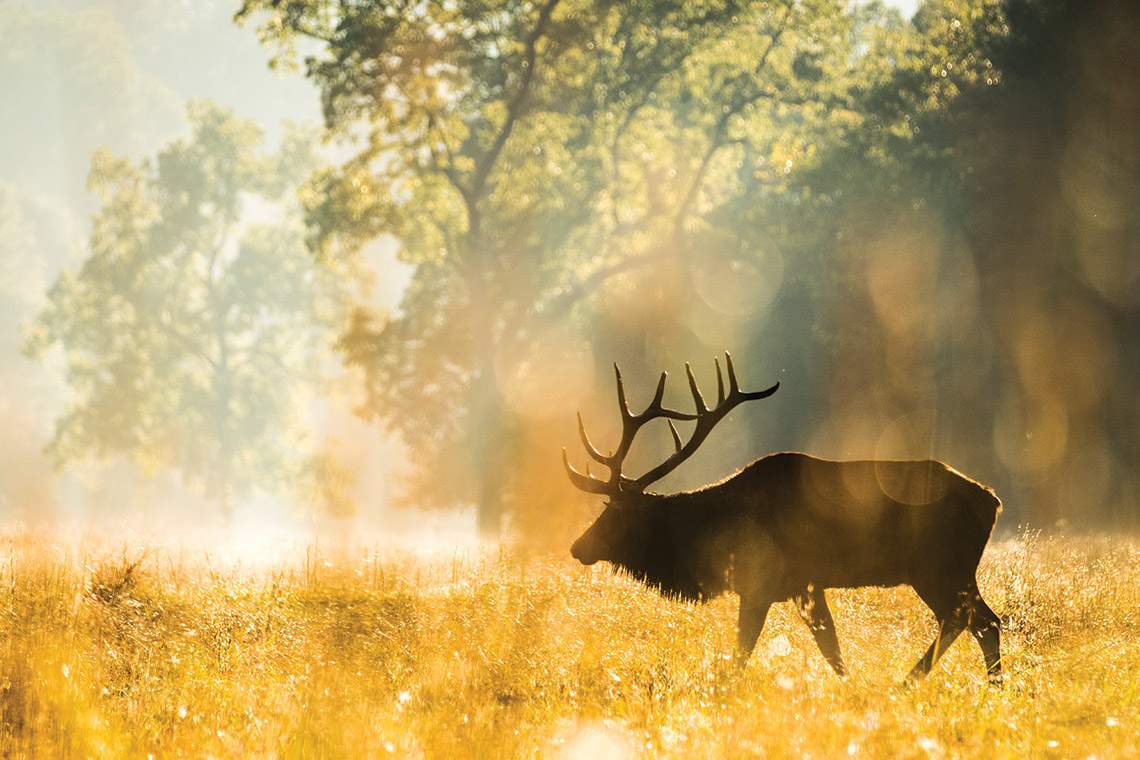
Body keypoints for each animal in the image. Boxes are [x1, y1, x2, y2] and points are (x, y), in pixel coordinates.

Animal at [565, 353, 1003, 684]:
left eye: (612, 514)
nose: (577, 546)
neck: (712, 533)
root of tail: (992, 501)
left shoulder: (763, 583)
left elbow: (745, 655)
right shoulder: (804, 585)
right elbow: (832, 650)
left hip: (940, 566)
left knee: (978, 620)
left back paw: (918, 682)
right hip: (948, 571)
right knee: (976, 620)